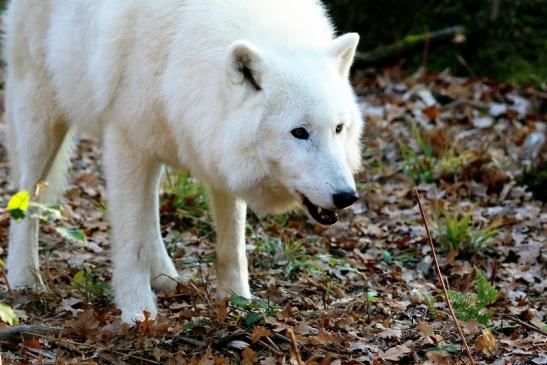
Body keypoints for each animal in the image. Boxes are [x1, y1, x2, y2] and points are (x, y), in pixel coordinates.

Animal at [5, 0, 364, 324]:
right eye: (299, 132)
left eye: (338, 128)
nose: (347, 196)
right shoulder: (125, 142)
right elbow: (131, 242)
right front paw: (137, 312)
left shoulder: (215, 149)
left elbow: (232, 245)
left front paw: (238, 302)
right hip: (41, 120)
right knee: (27, 197)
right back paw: (24, 278)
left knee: (149, 209)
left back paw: (165, 276)